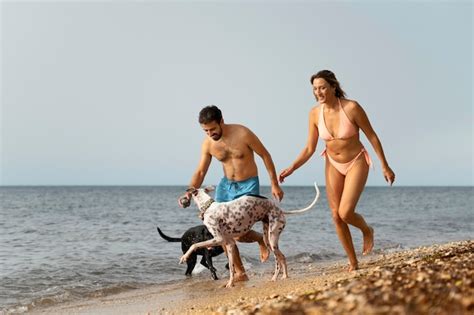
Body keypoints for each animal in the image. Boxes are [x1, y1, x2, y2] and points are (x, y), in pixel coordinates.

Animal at [180, 183, 320, 288]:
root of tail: (280, 210)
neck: (208, 207)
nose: (183, 199)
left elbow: (194, 245)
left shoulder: (218, 239)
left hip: (272, 239)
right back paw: (285, 276)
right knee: (283, 257)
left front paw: (184, 257)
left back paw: (275, 278)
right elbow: (231, 268)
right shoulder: (229, 244)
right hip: (268, 239)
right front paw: (230, 284)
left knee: (278, 262)